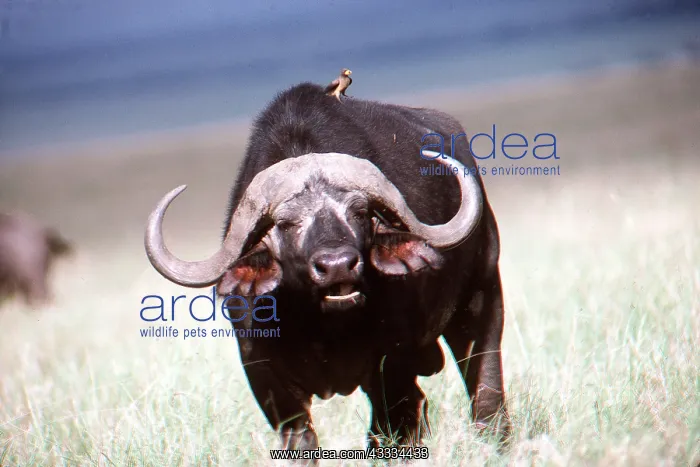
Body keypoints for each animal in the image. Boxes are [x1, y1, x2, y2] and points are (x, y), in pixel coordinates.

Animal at [144, 83, 511, 454]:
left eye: (360, 213)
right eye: (286, 224)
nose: (337, 266)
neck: (325, 329)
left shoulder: (392, 365)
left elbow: (389, 427)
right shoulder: (264, 376)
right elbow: (301, 441)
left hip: (482, 296)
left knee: (484, 381)